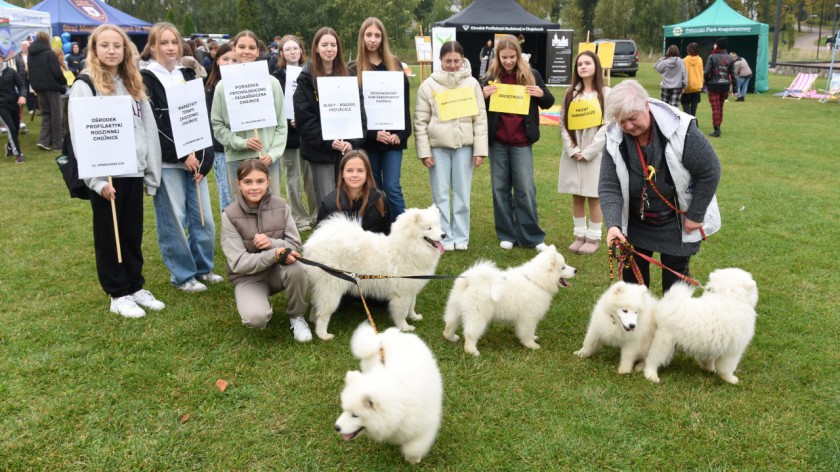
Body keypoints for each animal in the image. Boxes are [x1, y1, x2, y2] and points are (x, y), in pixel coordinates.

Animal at [302, 206, 446, 340]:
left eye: (438, 226)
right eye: (428, 228)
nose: (444, 235)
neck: (407, 249)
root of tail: (313, 245)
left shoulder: (411, 289)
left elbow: (411, 306)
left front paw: (414, 317)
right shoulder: (401, 294)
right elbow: (402, 312)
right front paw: (405, 327)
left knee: (316, 307)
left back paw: (313, 321)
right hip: (331, 289)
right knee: (323, 313)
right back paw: (323, 335)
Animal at [334, 322, 442, 462]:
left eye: (355, 415)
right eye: (344, 410)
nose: (336, 427)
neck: (401, 403)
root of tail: (384, 336)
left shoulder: (425, 424)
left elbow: (414, 447)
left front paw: (413, 459)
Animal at [442, 245, 576, 356]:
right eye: (563, 267)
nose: (575, 270)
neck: (536, 281)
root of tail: (470, 281)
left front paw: (533, 338)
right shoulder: (528, 317)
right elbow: (527, 332)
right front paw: (531, 344)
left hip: (454, 309)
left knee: (449, 326)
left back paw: (452, 338)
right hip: (477, 316)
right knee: (470, 333)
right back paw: (472, 351)